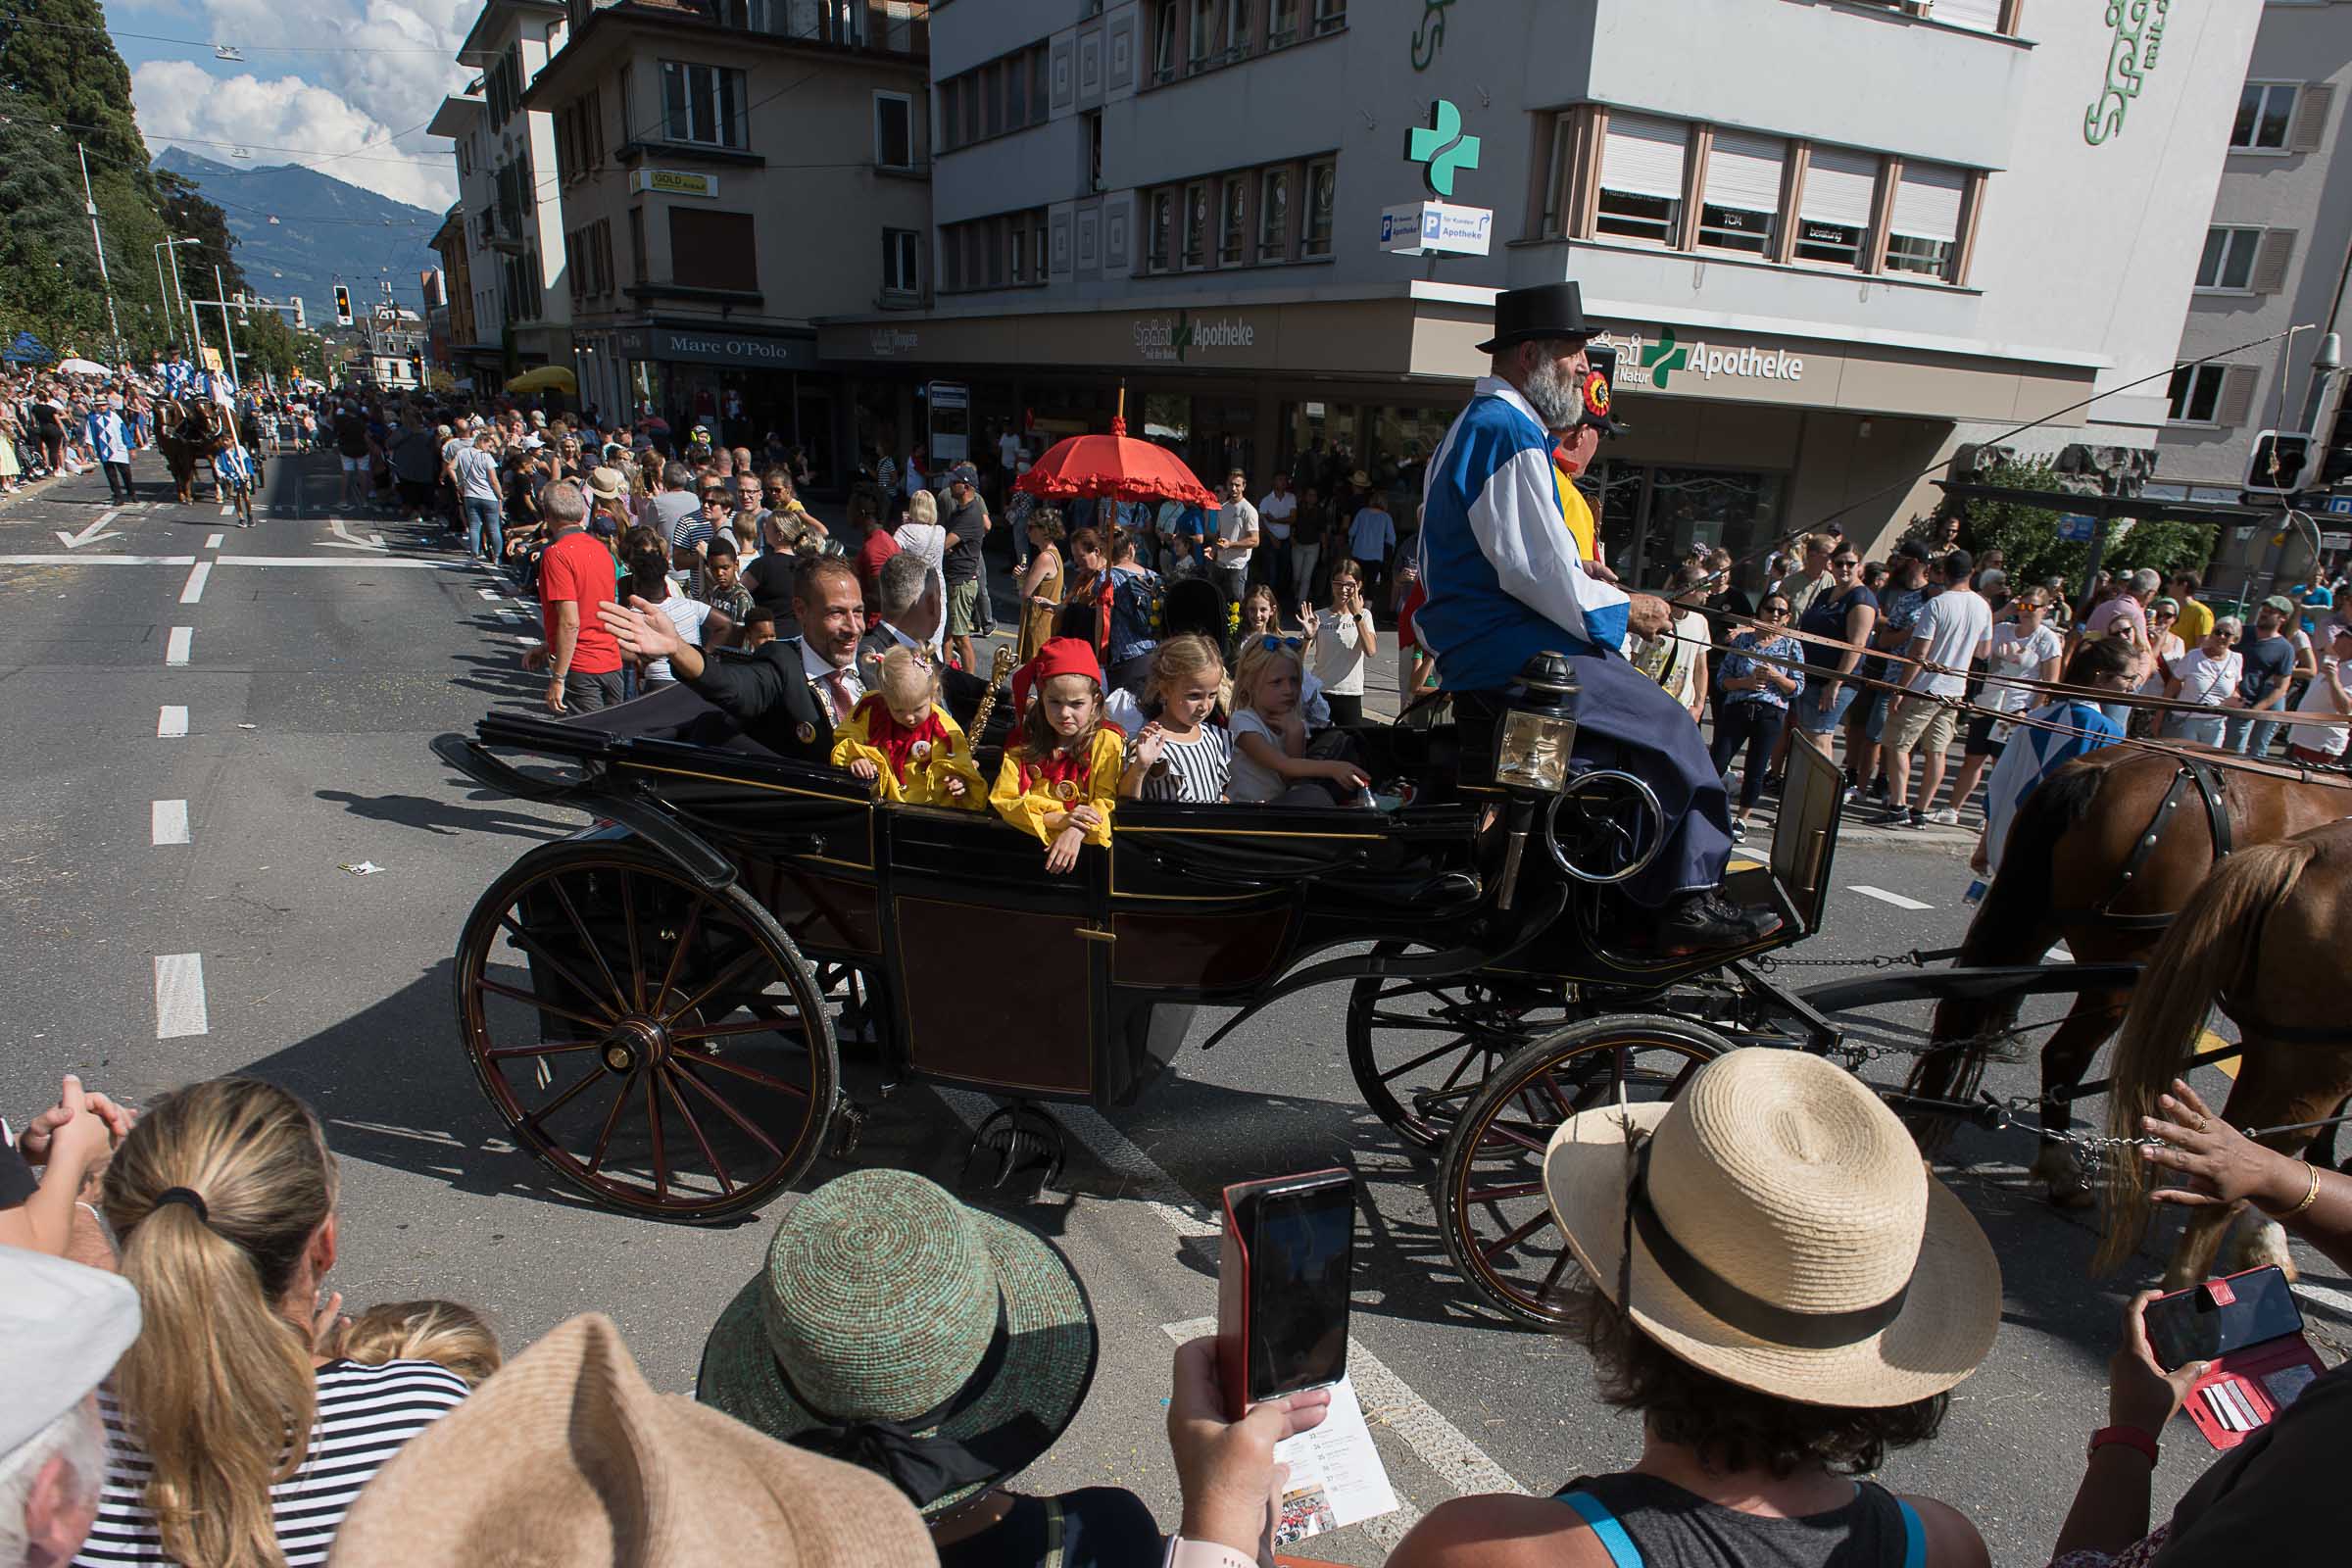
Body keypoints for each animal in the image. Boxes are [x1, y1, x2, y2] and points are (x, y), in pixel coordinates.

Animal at [1900, 747, 2342, 1203]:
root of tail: (2102, 770)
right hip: (2121, 968)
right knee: (2064, 1054)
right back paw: (2061, 1167)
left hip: (2036, 921)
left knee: (1960, 1015)